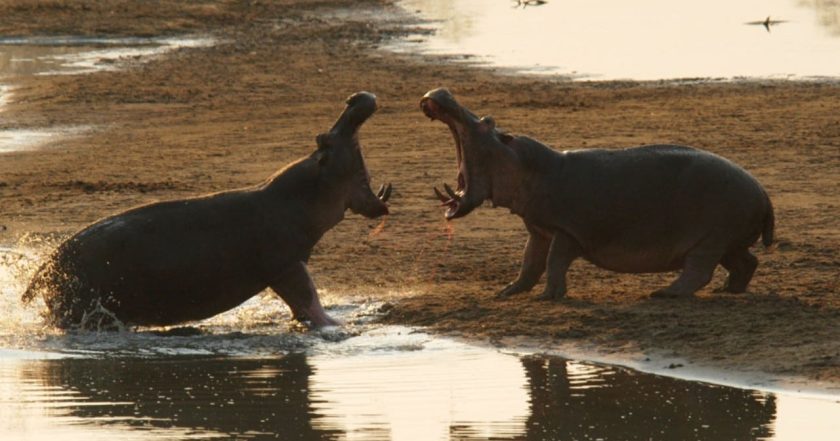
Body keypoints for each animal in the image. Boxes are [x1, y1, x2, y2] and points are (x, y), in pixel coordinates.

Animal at [24, 91, 392, 328]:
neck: (302, 194)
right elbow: (308, 300)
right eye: (324, 138)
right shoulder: (285, 265)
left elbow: (304, 305)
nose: (354, 98)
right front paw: (335, 327)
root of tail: (44, 267)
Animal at [420, 86, 776, 300]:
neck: (528, 166)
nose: (442, 92)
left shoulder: (566, 232)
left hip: (711, 238)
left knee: (700, 271)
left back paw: (664, 294)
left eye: (487, 121)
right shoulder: (539, 230)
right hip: (726, 240)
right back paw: (727, 291)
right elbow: (529, 263)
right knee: (747, 262)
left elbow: (554, 263)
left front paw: (548, 297)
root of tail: (762, 191)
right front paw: (507, 291)